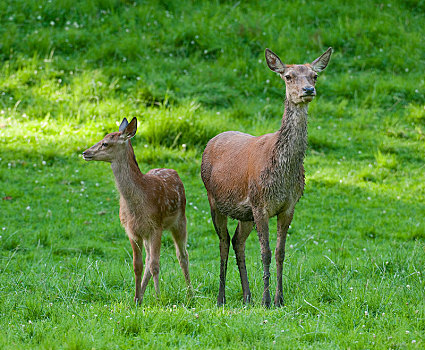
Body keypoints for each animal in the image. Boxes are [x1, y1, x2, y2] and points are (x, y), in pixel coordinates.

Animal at [82, 117, 190, 304]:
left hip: (180, 221)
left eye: (105, 143)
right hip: (146, 234)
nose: (85, 152)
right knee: (148, 259)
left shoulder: (156, 226)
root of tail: (174, 172)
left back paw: (191, 295)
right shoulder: (132, 231)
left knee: (182, 255)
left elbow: (155, 265)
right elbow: (137, 265)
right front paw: (136, 298)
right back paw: (141, 296)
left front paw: (158, 298)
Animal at [201, 47, 332, 306]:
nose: (308, 90)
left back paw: (246, 296)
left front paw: (280, 298)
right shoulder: (260, 204)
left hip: (244, 214)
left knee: (237, 241)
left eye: (314, 76)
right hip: (215, 201)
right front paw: (267, 300)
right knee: (223, 242)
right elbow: (266, 252)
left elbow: (281, 252)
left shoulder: (288, 206)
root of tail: (210, 142)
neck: (282, 174)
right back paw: (222, 298)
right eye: (288, 76)